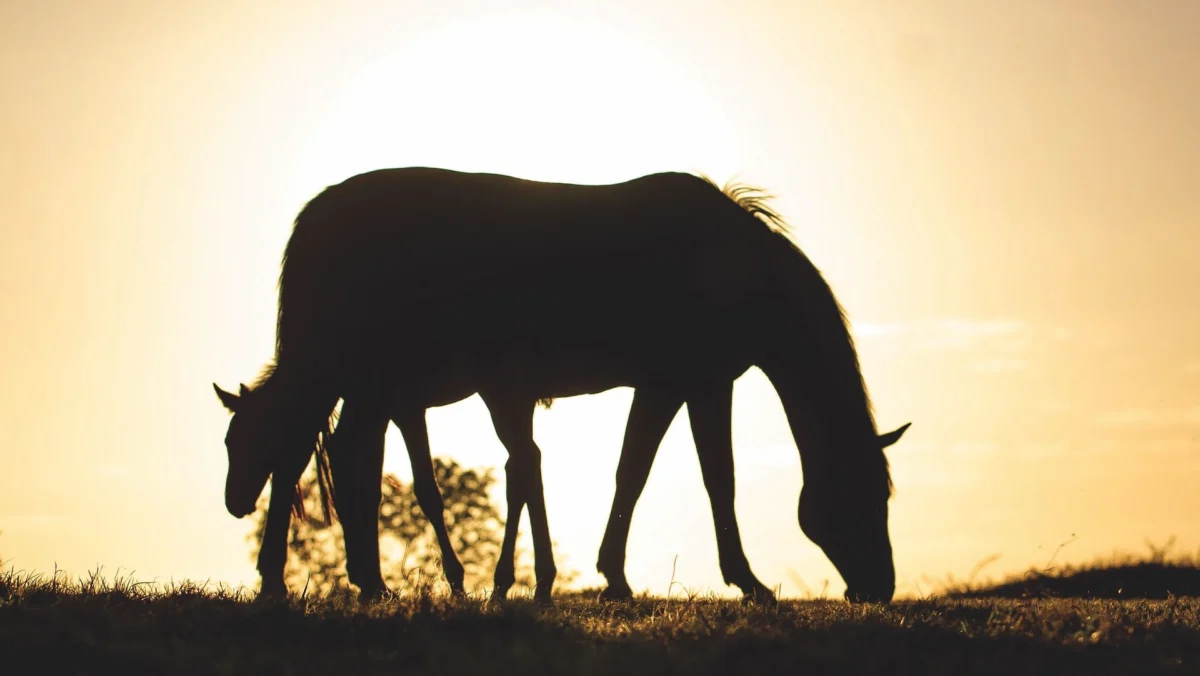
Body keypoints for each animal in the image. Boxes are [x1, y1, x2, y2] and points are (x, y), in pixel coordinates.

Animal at [215, 167, 911, 604]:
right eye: (865, 496)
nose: (881, 589)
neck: (736, 271)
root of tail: (318, 211)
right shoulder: (693, 382)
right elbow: (703, 478)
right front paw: (744, 582)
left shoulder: (674, 384)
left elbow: (639, 472)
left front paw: (614, 577)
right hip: (347, 373)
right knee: (313, 449)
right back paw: (324, 581)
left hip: (358, 381)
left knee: (325, 449)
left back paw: (348, 580)